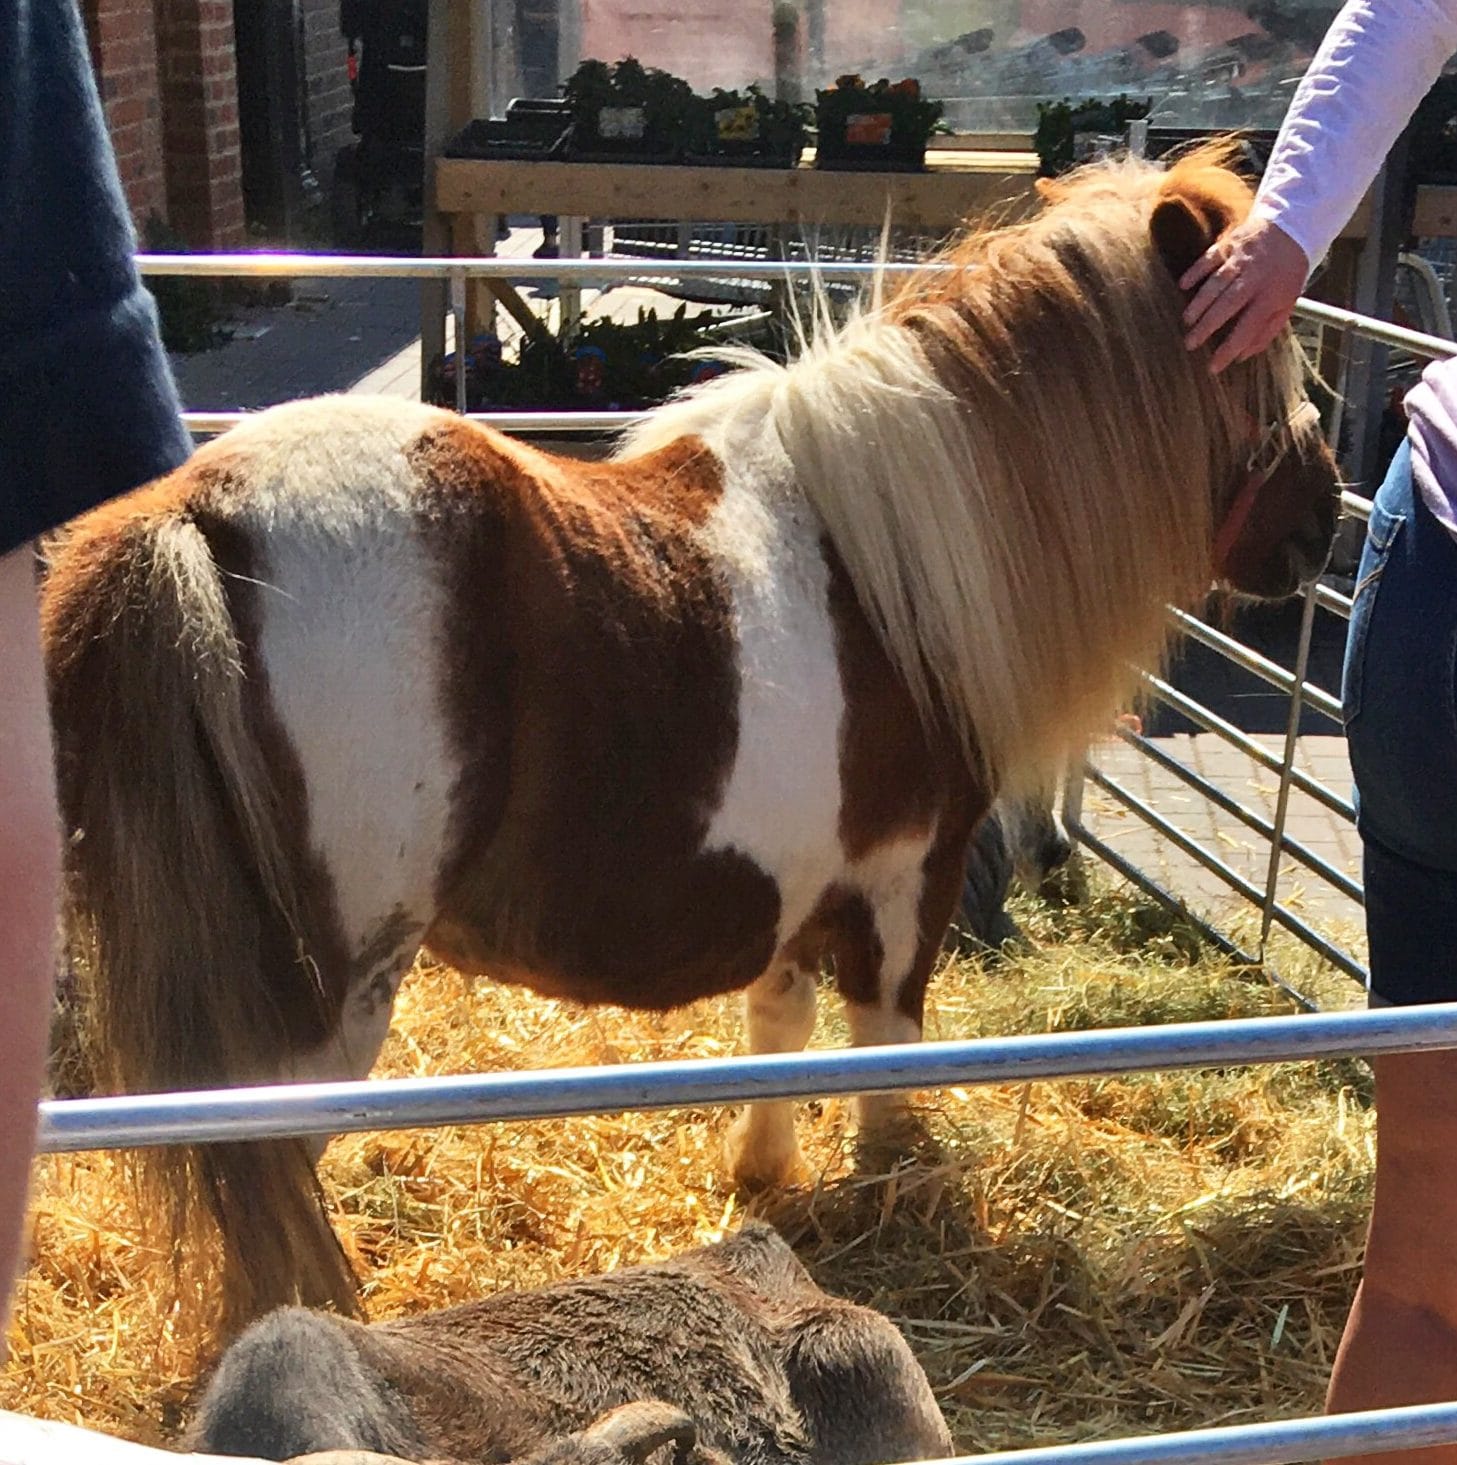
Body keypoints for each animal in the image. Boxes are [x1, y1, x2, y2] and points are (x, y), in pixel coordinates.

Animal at [41, 144, 1338, 1334]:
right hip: (324, 996)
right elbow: (885, 1055)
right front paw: (888, 1196)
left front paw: (761, 1179)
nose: (1320, 525)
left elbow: (779, 1027)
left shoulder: (793, 882)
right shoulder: (903, 880)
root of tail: (195, 516)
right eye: (1257, 358)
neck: (893, 556)